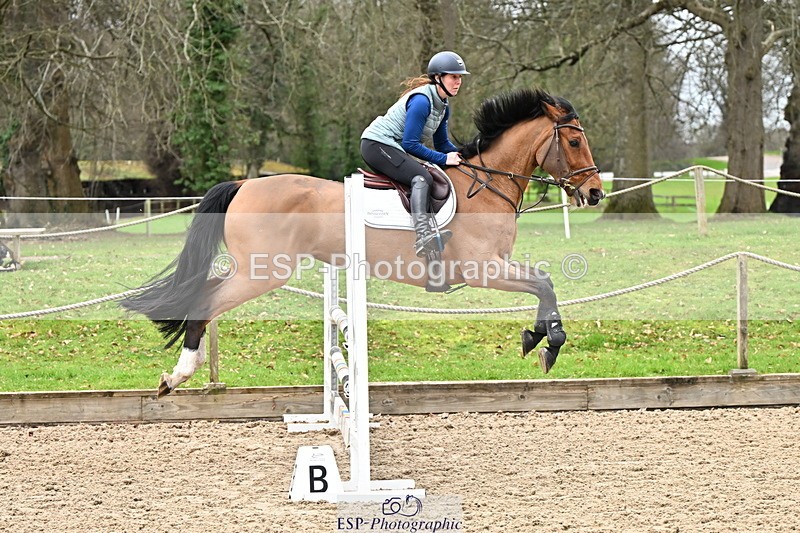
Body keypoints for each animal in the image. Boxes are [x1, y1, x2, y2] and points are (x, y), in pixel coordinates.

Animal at [121, 88, 605, 397]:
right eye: (574, 140)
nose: (596, 193)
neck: (487, 187)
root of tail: (243, 184)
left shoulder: (497, 265)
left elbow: (543, 284)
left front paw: (536, 337)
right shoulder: (483, 269)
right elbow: (544, 283)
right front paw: (548, 343)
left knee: (203, 296)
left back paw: (183, 371)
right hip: (264, 271)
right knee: (206, 301)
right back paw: (181, 373)